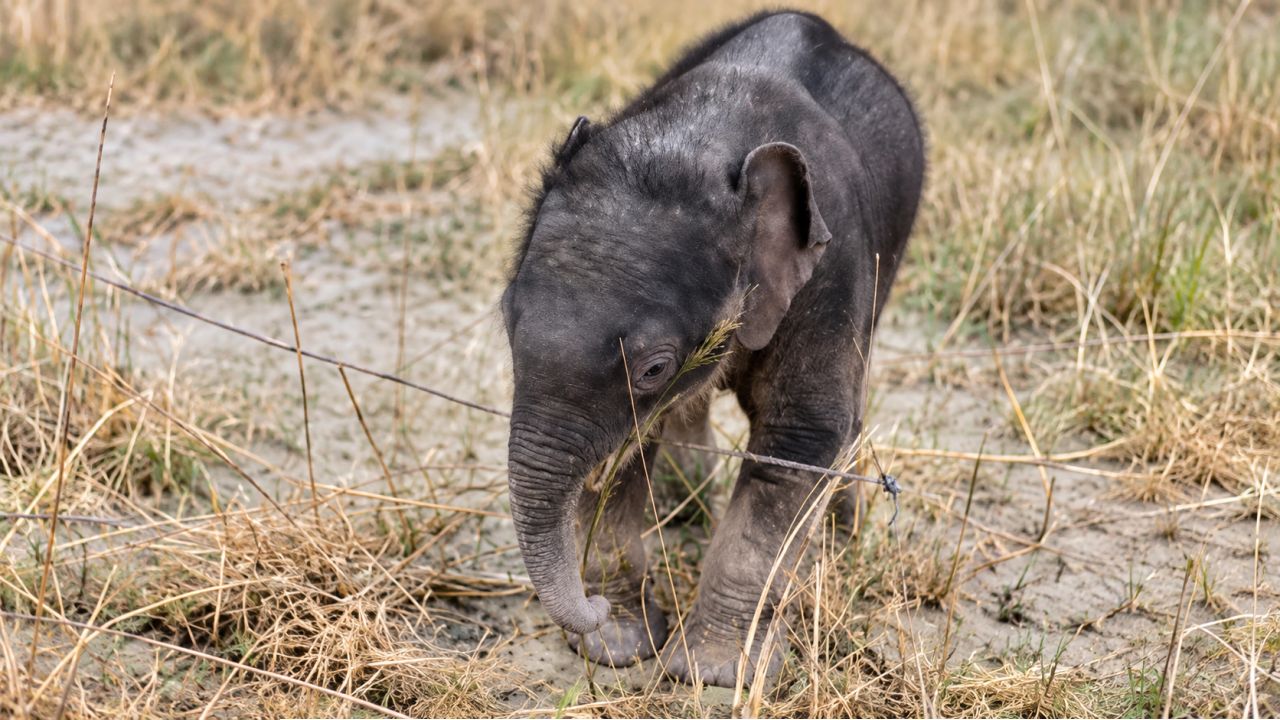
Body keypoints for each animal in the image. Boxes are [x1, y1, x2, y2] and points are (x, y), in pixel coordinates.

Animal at [500, 10, 925, 687]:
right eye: (505, 321)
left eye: (654, 367)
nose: (589, 607)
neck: (698, 146)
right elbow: (624, 452)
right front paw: (618, 646)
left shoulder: (832, 272)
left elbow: (799, 439)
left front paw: (712, 674)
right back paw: (685, 502)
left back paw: (839, 534)